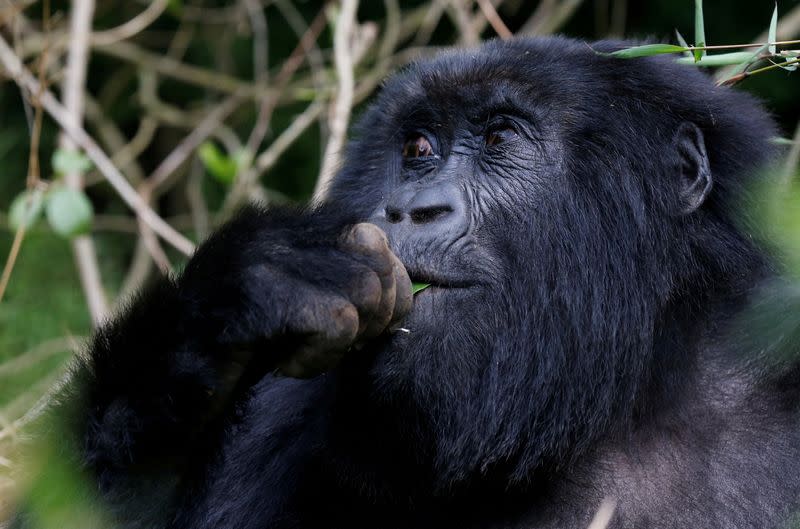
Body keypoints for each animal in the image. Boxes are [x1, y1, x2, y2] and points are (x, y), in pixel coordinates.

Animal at [45, 37, 800, 528]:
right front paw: (234, 300)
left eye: (499, 140)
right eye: (417, 149)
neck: (632, 396)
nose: (413, 209)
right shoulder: (288, 409)